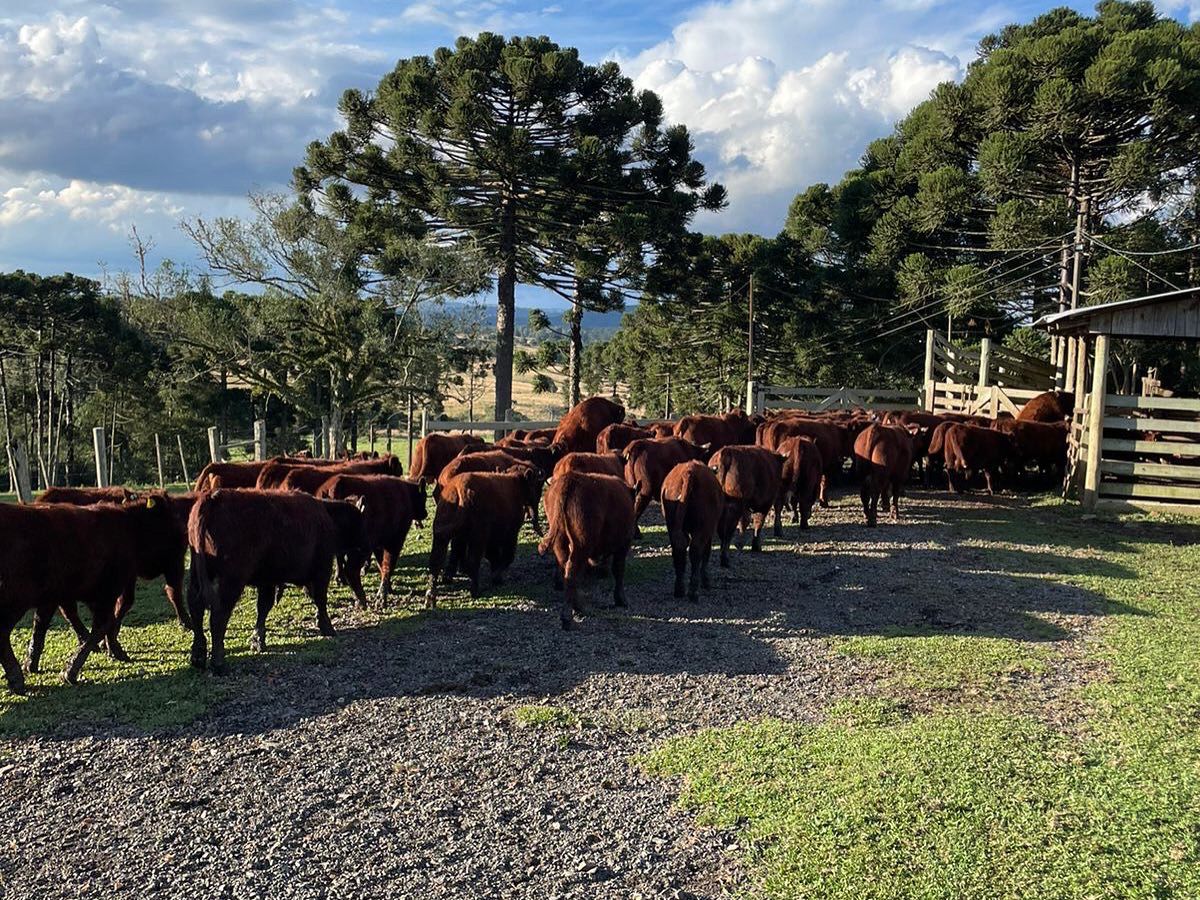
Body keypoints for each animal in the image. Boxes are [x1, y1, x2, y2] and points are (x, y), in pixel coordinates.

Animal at [183, 489, 364, 672]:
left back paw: (197, 657)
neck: (327, 514)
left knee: (196, 608)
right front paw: (328, 628)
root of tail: (213, 497)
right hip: (231, 581)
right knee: (219, 615)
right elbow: (320, 599)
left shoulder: (267, 580)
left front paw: (257, 641)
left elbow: (264, 606)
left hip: (197, 577)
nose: (362, 545)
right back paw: (219, 663)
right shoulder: (322, 569)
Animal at [316, 472, 429, 607]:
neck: (407, 493)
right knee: (351, 569)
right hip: (360, 549)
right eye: (424, 496)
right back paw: (363, 598)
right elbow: (387, 566)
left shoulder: (379, 545)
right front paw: (383, 594)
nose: (426, 513)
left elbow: (381, 564)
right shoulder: (394, 542)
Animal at [422, 472, 535, 607]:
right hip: (477, 538)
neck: (516, 484)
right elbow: (506, 557)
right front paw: (497, 577)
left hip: (441, 536)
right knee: (473, 562)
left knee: (435, 563)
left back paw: (430, 598)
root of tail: (460, 490)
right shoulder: (510, 533)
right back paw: (475, 591)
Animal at [540, 475, 638, 628]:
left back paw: (579, 608)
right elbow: (618, 570)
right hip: (581, 545)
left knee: (566, 570)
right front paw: (621, 600)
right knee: (572, 572)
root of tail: (570, 480)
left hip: (560, 543)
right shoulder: (623, 546)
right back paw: (568, 617)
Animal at [657, 460, 720, 602]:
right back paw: (693, 591)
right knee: (695, 551)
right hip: (702, 527)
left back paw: (679, 589)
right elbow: (706, 554)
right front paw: (705, 581)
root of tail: (689, 472)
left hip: (672, 525)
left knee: (678, 547)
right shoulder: (709, 530)